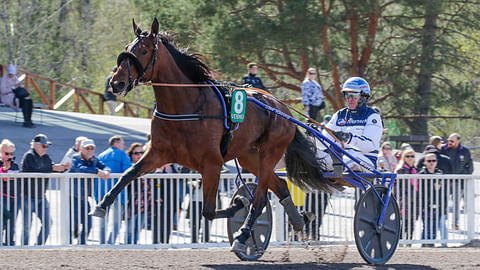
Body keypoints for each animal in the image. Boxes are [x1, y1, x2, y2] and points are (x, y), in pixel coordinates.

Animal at [88, 17, 332, 252]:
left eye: (144, 50)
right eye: (126, 48)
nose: (116, 83)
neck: (186, 106)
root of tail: (282, 109)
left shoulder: (212, 163)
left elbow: (208, 211)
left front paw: (239, 204)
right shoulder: (158, 154)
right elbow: (128, 174)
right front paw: (101, 205)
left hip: (269, 153)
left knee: (261, 196)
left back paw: (243, 235)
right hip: (249, 157)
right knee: (279, 186)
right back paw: (299, 221)